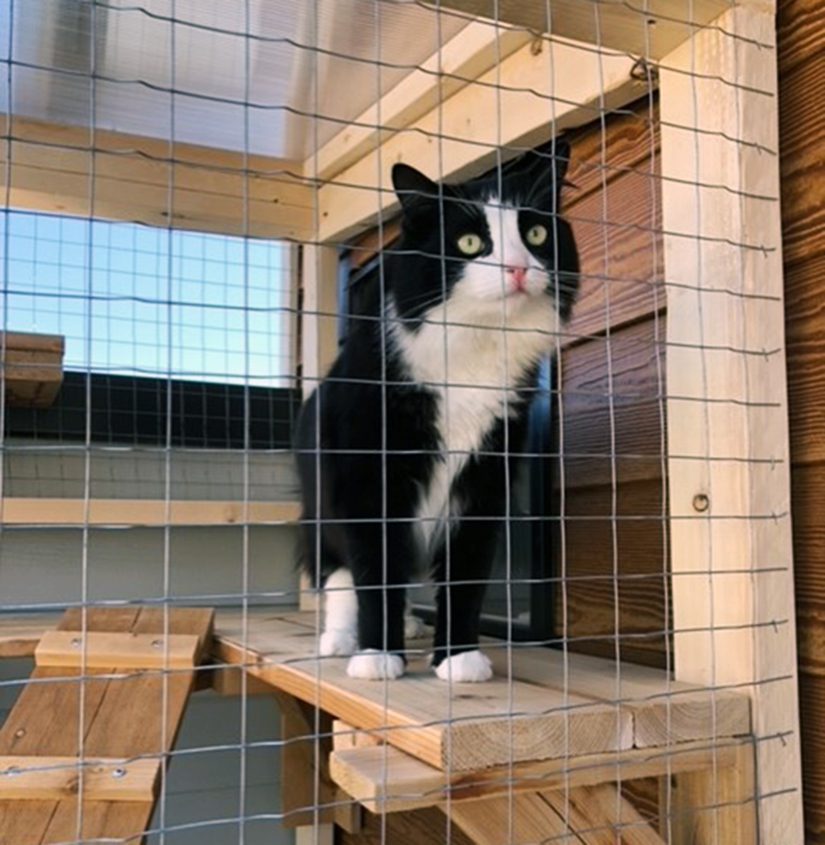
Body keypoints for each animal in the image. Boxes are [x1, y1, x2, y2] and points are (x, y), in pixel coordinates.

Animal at [296, 143, 580, 680]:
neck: (473, 355)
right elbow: (374, 573)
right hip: (324, 501)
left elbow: (465, 576)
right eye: (470, 243)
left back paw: (409, 624)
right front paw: (378, 655)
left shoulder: (484, 483)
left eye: (535, 234)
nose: (517, 268)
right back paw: (344, 639)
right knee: (339, 572)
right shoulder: (369, 481)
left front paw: (458, 656)